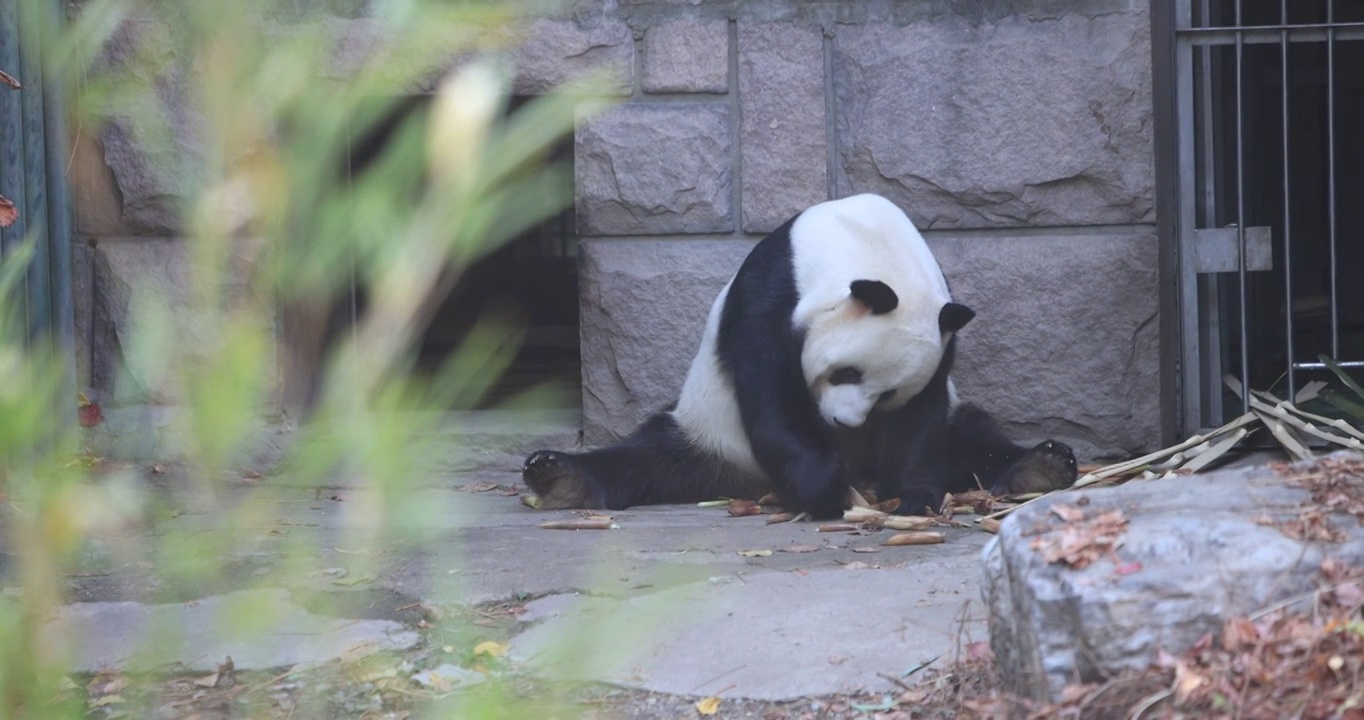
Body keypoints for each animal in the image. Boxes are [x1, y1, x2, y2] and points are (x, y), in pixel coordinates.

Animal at [521, 192, 1074, 518]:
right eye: (847, 372)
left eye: (887, 393)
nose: (844, 425)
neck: (863, 237)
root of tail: (743, 480)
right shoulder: (769, 297)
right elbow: (770, 396)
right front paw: (824, 489)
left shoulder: (942, 335)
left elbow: (923, 416)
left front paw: (911, 497)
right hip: (711, 432)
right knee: (649, 459)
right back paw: (560, 478)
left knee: (971, 436)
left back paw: (1041, 466)